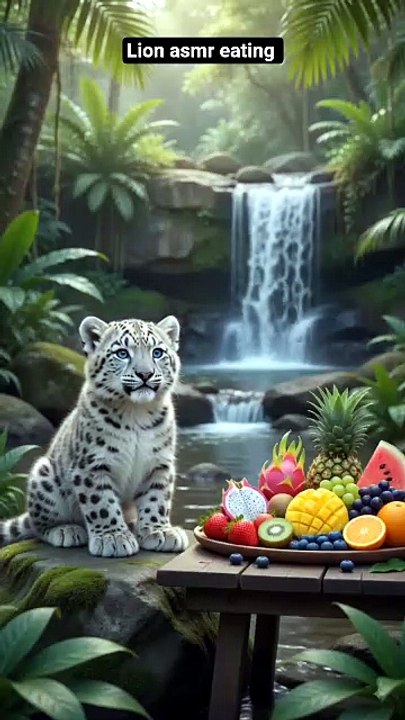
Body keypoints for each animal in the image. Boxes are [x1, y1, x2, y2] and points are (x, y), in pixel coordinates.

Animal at [0, 314, 189, 557]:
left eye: (157, 352)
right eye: (122, 353)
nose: (145, 374)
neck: (136, 412)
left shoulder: (159, 463)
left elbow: (156, 498)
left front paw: (159, 531)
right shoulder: (92, 464)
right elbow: (101, 503)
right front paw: (114, 538)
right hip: (43, 475)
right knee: (38, 525)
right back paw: (67, 530)